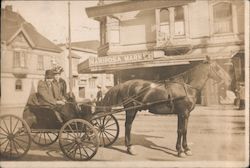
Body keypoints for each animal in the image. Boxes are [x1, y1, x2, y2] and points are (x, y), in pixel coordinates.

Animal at [99, 57, 230, 158]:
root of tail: (124, 84)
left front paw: (186, 149)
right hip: (131, 110)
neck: (186, 87)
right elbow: (181, 130)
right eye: (217, 68)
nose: (229, 80)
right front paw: (180, 151)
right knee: (128, 126)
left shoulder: (185, 114)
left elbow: (184, 130)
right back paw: (130, 148)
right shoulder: (182, 113)